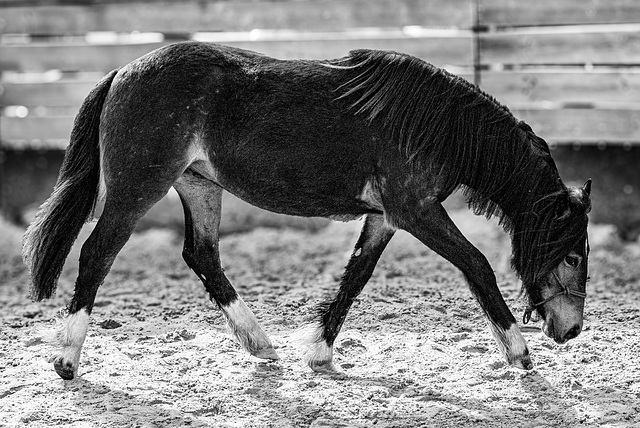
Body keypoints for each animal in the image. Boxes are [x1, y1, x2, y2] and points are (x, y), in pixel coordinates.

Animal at [21, 41, 592, 380]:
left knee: (202, 256)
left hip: (199, 186)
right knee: (97, 253)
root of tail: (123, 70)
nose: (571, 330)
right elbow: (477, 265)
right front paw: (518, 351)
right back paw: (66, 358)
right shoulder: (416, 211)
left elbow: (356, 277)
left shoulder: (385, 217)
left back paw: (260, 345)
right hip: (138, 186)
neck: (433, 123)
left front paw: (318, 352)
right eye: (571, 257)